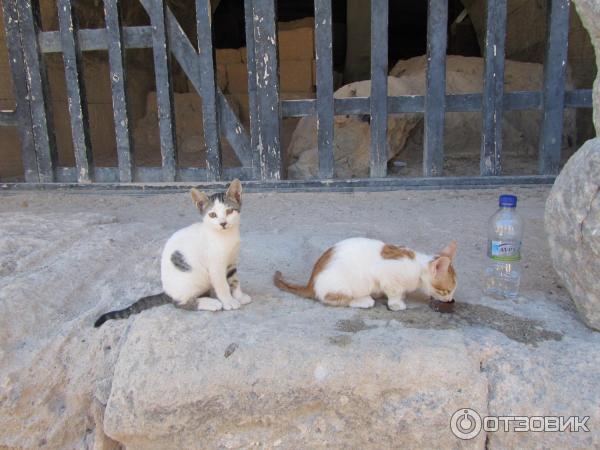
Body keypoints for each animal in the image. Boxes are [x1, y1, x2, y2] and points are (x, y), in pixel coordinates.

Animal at [93, 178, 251, 326]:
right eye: (212, 215)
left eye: (229, 211)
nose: (223, 223)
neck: (225, 237)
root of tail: (168, 292)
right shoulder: (215, 266)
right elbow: (222, 285)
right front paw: (228, 301)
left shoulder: (231, 261)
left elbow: (234, 280)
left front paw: (239, 296)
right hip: (191, 281)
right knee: (180, 303)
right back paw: (210, 303)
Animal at [274, 239, 458, 310]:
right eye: (447, 291)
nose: (450, 300)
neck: (418, 267)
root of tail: (311, 282)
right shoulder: (386, 274)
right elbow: (394, 291)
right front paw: (397, 303)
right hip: (345, 285)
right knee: (335, 299)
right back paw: (364, 300)